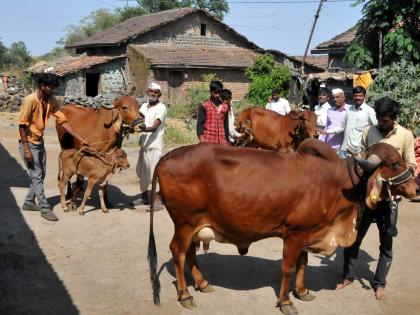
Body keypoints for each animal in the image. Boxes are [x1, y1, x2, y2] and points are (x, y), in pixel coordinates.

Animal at [148, 141, 416, 315]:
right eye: (394, 163)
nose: (415, 188)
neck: (339, 182)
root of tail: (165, 158)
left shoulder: (309, 232)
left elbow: (303, 264)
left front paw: (303, 290)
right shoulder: (294, 234)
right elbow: (288, 268)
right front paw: (286, 302)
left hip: (193, 226)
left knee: (190, 253)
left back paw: (202, 283)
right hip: (185, 223)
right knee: (178, 252)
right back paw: (185, 294)